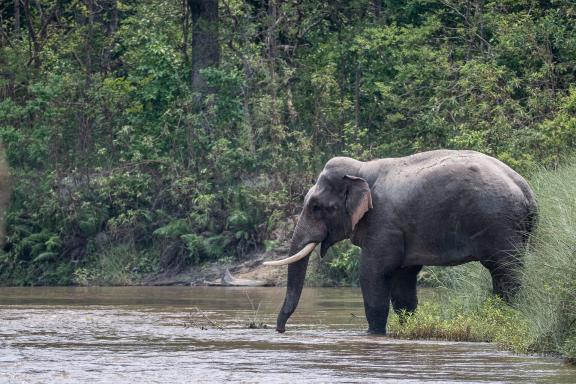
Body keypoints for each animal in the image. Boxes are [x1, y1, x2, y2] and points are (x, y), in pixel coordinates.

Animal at [264, 148, 536, 334]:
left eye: (316, 207)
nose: (280, 330)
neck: (361, 170)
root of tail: (526, 189)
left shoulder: (384, 223)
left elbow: (373, 274)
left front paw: (373, 333)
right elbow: (403, 280)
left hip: (499, 225)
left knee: (506, 272)